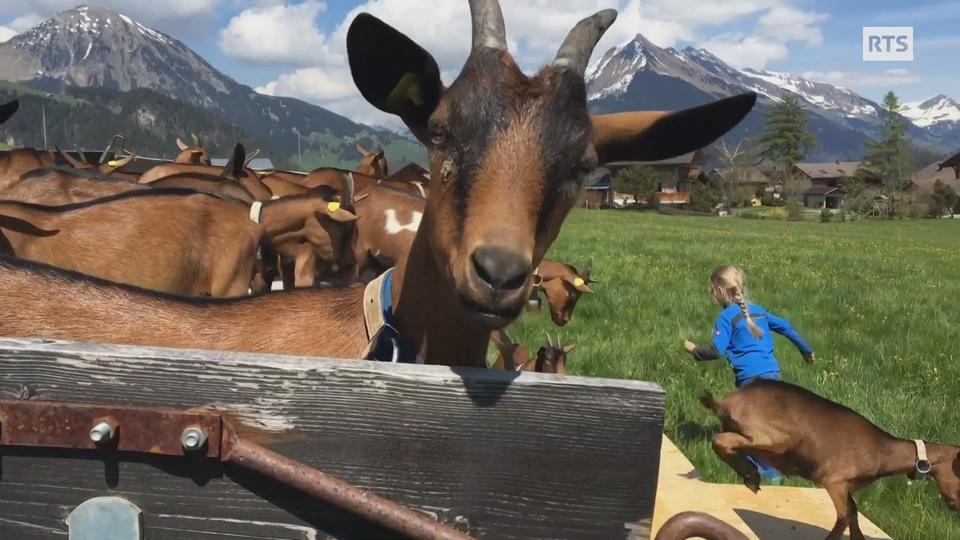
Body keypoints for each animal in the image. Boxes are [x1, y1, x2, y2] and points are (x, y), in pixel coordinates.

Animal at [696, 380, 960, 540]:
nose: (956, 506)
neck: (883, 450)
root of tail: (727, 402)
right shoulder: (835, 481)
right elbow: (844, 516)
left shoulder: (847, 488)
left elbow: (852, 513)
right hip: (776, 438)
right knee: (721, 440)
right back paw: (752, 474)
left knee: (725, 441)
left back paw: (750, 475)